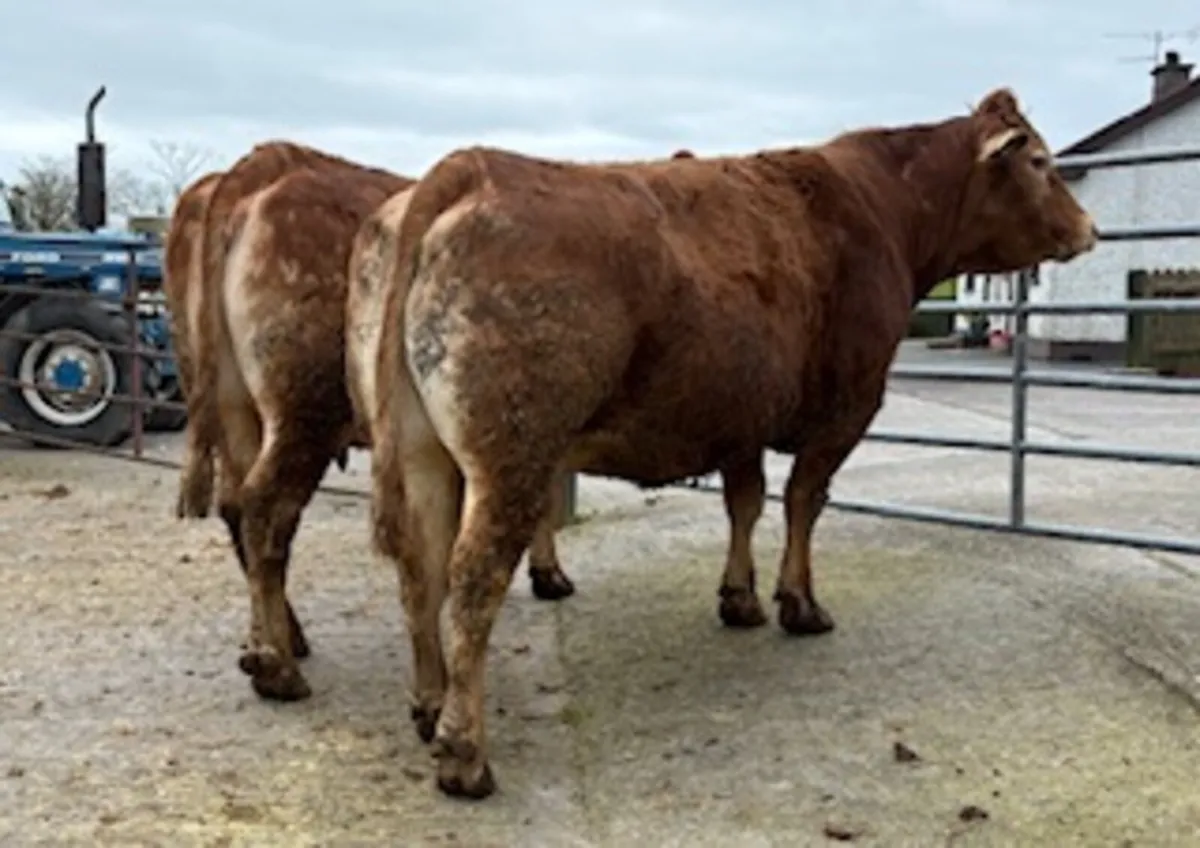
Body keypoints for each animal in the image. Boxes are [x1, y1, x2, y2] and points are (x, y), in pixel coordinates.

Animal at [368, 86, 1099, 798]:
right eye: (1040, 161)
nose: (1092, 229)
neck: (883, 207)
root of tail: (471, 167)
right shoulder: (847, 410)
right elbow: (803, 501)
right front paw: (799, 603)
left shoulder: (742, 415)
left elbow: (745, 503)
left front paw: (739, 597)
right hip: (512, 454)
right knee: (471, 580)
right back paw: (465, 755)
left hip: (423, 452)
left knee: (419, 568)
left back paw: (428, 705)